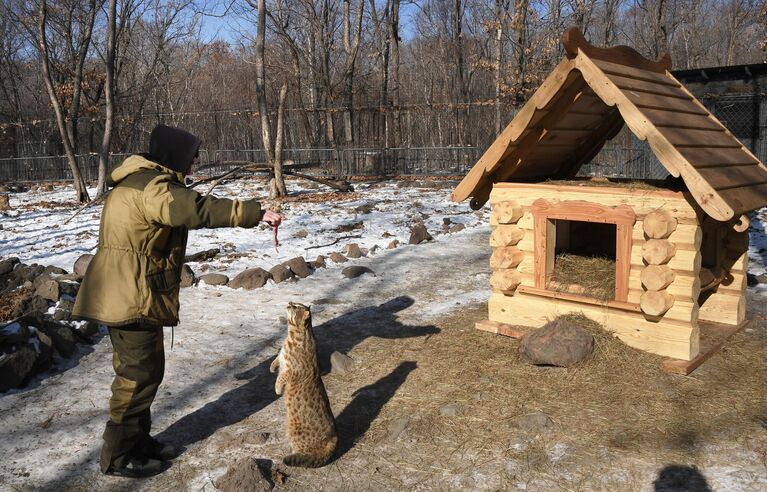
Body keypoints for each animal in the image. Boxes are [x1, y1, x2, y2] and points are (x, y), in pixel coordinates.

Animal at [272, 302, 340, 468]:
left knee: (306, 453)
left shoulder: (292, 371)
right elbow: (276, 361)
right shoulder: (281, 358)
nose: (288, 303)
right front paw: (272, 367)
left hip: (294, 433)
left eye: (296, 306)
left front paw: (277, 388)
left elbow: (281, 378)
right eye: (293, 303)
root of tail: (334, 438)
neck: (291, 335)